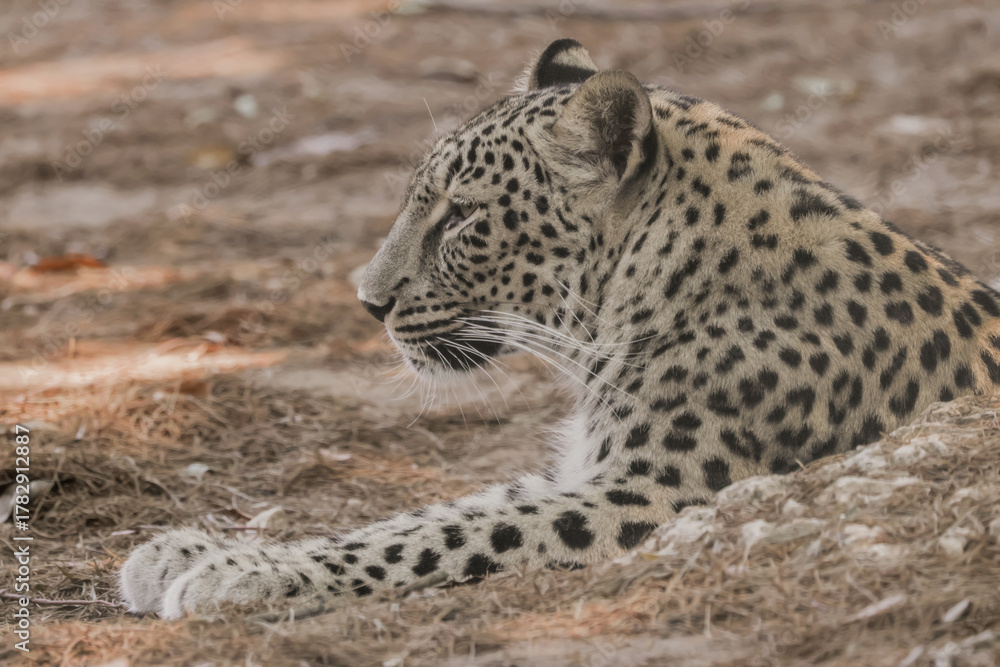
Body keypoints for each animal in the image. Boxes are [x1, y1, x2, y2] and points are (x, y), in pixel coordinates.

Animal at [121, 39, 1000, 618]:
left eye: (462, 216)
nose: (368, 300)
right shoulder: (586, 468)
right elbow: (425, 513)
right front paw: (191, 549)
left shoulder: (653, 495)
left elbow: (442, 533)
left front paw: (237, 573)